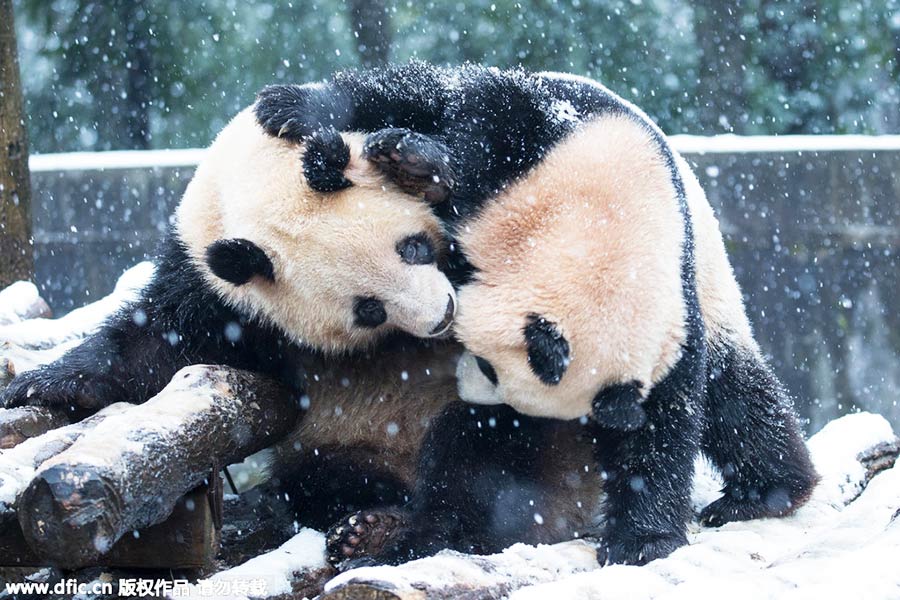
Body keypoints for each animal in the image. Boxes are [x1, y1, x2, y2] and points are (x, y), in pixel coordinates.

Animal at [255, 62, 819, 567]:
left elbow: (658, 424)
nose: (467, 390)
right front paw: (317, 117)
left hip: (712, 289)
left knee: (738, 395)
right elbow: (436, 95)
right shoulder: (538, 131)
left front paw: (641, 541)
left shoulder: (673, 314)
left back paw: (768, 492)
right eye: (485, 364)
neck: (603, 228)